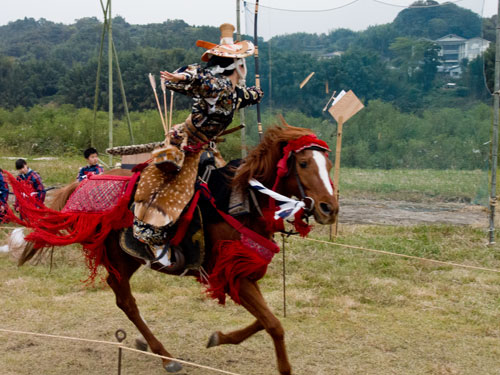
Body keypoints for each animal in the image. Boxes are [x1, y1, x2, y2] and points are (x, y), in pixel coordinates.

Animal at [17, 122, 338, 374]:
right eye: (304, 164)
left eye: (329, 165)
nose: (329, 208)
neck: (242, 202)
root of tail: (86, 183)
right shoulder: (231, 274)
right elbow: (273, 324)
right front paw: (282, 367)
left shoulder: (242, 273)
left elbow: (265, 320)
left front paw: (219, 337)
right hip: (120, 256)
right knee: (125, 300)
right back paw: (164, 355)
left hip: (128, 258)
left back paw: (147, 345)